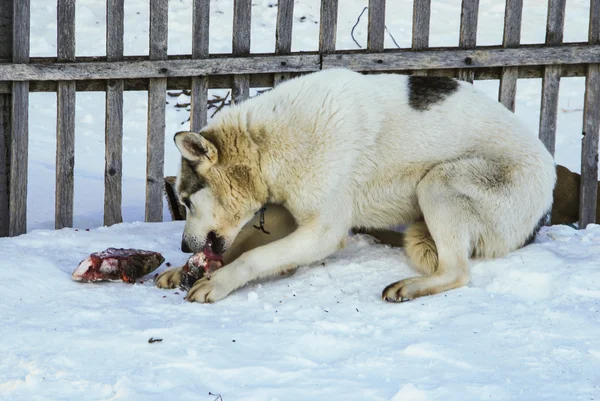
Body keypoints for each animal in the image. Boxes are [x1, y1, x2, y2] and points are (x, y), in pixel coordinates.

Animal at [154, 69, 552, 302]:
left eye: (187, 202)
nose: (183, 244)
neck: (264, 146)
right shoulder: (286, 211)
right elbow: (242, 245)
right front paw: (184, 269)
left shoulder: (321, 232)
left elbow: (252, 256)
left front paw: (218, 282)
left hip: (439, 182)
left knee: (457, 271)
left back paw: (409, 287)